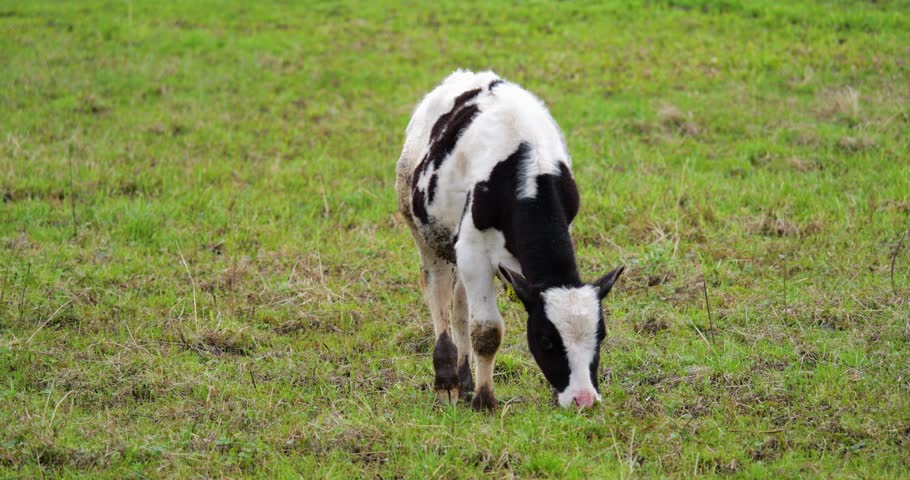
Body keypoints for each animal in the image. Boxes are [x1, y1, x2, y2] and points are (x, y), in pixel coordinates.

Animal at [395, 70, 624, 410]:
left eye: (602, 335)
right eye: (546, 340)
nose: (583, 399)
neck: (530, 170)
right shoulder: (473, 251)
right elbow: (487, 330)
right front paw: (485, 400)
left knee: (459, 305)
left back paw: (464, 379)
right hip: (425, 233)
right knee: (438, 293)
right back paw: (447, 382)